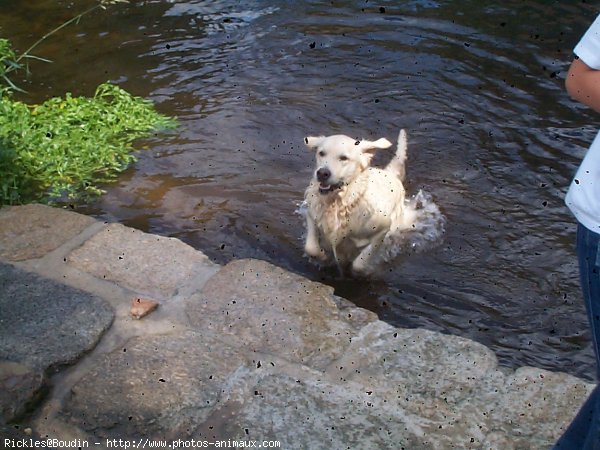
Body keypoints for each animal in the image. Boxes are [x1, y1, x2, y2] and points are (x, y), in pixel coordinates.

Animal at [302, 126, 414, 274]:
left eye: (343, 158)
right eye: (321, 153)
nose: (322, 173)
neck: (341, 201)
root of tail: (390, 173)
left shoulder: (383, 228)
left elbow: (360, 263)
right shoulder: (312, 214)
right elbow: (311, 248)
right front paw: (324, 257)